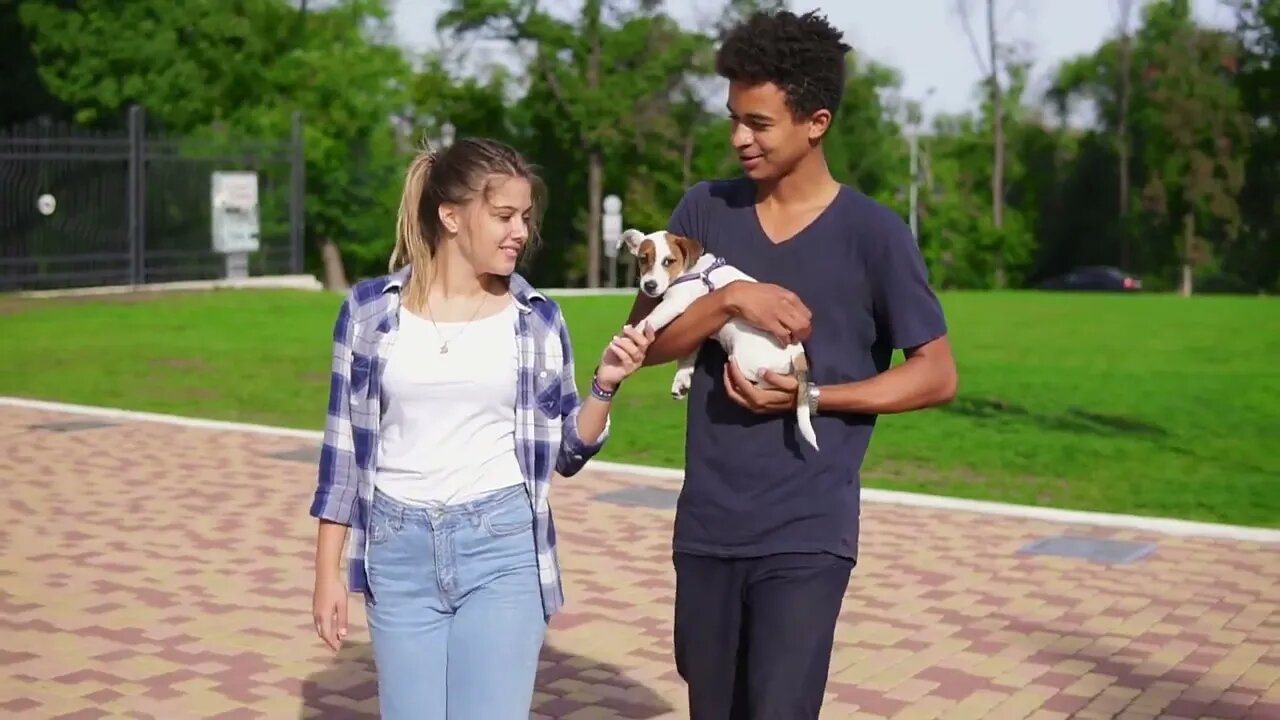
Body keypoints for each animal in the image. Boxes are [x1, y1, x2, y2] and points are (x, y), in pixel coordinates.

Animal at [622, 226, 819, 448]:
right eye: (643, 259)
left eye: (668, 261)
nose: (649, 285)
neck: (691, 270)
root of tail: (797, 353)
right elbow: (687, 355)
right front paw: (682, 380)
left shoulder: (675, 303)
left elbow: (648, 321)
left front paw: (630, 336)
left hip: (745, 360)